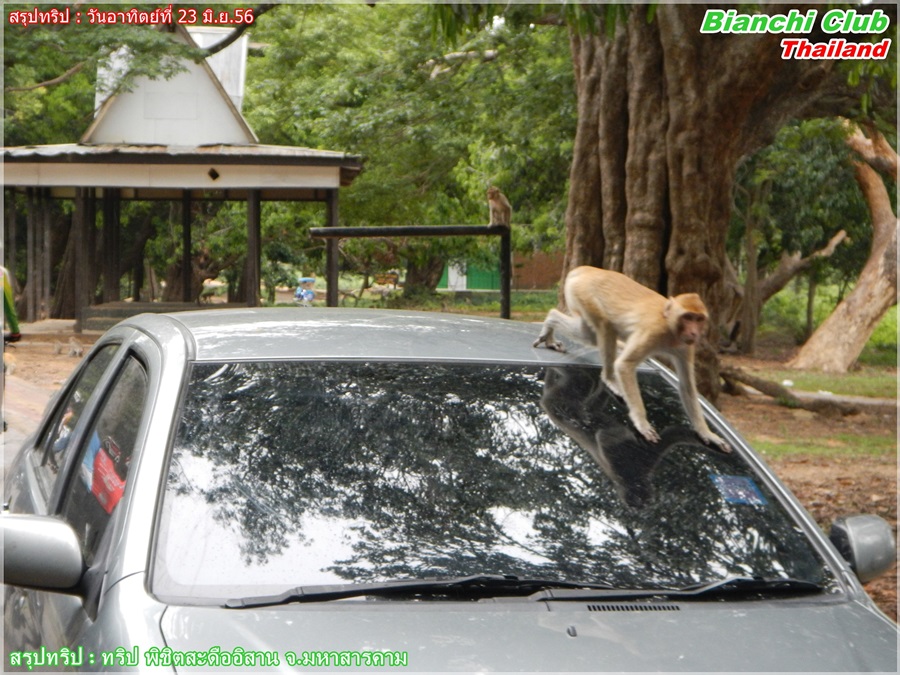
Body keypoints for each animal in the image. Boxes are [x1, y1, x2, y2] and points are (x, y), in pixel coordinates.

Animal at [533, 266, 731, 453]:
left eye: (699, 319)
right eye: (687, 317)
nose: (694, 332)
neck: (670, 326)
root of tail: (588, 269)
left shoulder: (685, 346)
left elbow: (687, 387)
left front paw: (707, 433)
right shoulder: (653, 331)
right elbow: (625, 366)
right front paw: (641, 423)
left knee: (589, 335)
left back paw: (551, 322)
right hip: (585, 295)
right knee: (605, 327)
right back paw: (609, 378)